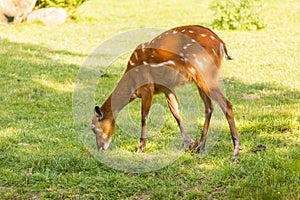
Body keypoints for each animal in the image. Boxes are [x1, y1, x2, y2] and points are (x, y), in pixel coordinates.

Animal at [91, 24, 241, 156]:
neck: (132, 83)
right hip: (200, 79)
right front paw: (189, 143)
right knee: (209, 107)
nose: (100, 147)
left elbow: (144, 117)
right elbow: (176, 113)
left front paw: (140, 148)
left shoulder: (147, 88)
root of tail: (221, 44)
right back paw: (201, 146)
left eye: (94, 128)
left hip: (205, 72)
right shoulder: (167, 88)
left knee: (226, 104)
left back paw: (235, 149)